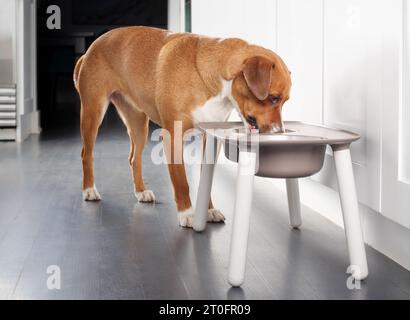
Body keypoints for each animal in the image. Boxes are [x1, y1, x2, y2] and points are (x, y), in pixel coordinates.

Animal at [74, 26, 292, 228]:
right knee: (86, 154)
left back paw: (141, 191)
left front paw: (208, 211)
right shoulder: (173, 138)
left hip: (138, 123)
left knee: (134, 158)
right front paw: (187, 213)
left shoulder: (210, 140)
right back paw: (89, 190)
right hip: (93, 113)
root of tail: (91, 48)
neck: (209, 79)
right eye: (274, 98)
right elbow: (182, 182)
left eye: (285, 101)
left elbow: (206, 181)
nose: (279, 132)